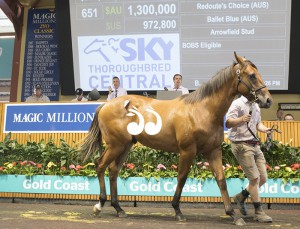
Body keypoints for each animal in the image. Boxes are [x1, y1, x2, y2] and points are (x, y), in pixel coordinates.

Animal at [79, 52, 272, 224]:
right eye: (252, 75)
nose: (268, 100)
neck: (202, 110)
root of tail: (105, 104)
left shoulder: (214, 151)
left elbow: (221, 180)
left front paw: (232, 214)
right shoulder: (187, 150)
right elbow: (182, 177)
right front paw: (177, 210)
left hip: (125, 146)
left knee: (113, 171)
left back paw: (118, 208)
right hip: (115, 145)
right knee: (100, 165)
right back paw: (99, 205)